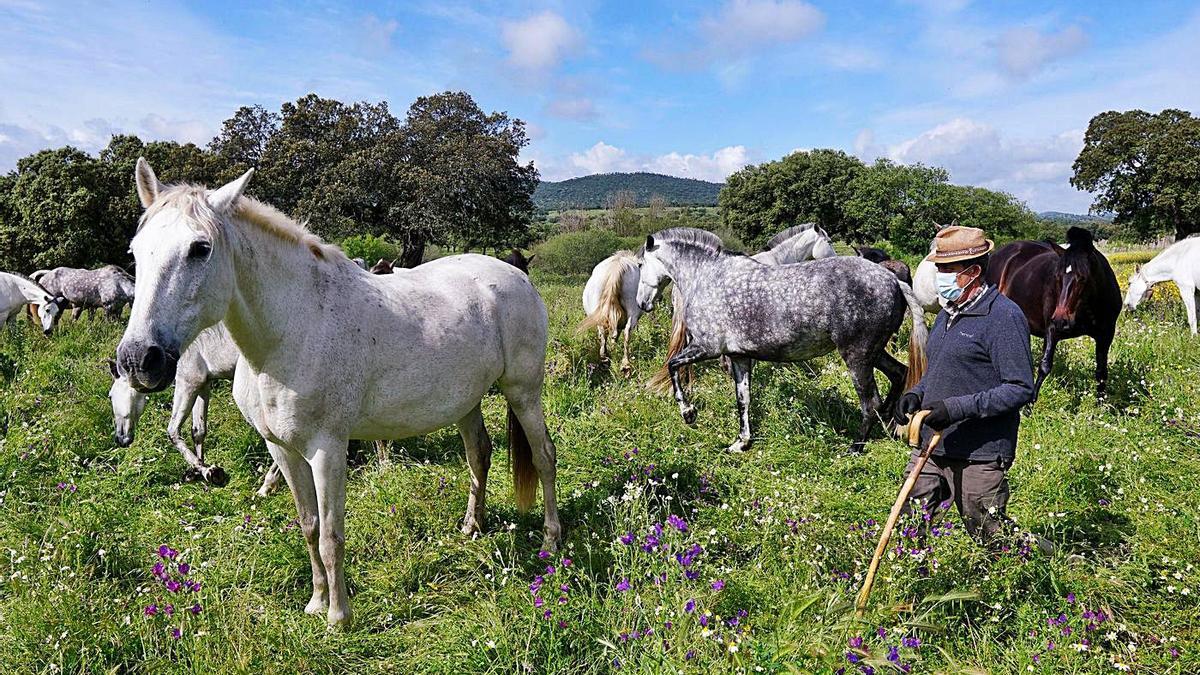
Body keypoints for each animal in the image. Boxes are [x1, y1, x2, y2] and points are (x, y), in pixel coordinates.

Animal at [106, 319, 285, 494]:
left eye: (110, 396)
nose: (120, 439)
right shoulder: (203, 384)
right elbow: (198, 431)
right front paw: (198, 470)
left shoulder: (189, 381)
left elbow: (173, 432)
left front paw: (210, 472)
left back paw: (267, 485)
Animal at [638, 227, 926, 451]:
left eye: (640, 265)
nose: (642, 304)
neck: (707, 277)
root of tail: (893, 279)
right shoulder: (739, 357)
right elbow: (743, 399)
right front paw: (741, 442)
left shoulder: (706, 348)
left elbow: (673, 366)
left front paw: (688, 413)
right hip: (873, 353)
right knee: (899, 374)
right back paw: (890, 421)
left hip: (857, 356)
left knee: (870, 402)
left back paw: (856, 446)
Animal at [988, 225, 1118, 398]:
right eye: (1057, 276)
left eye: (1083, 277)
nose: (1061, 320)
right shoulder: (1051, 330)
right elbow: (1044, 366)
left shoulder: (1105, 336)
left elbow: (1101, 373)